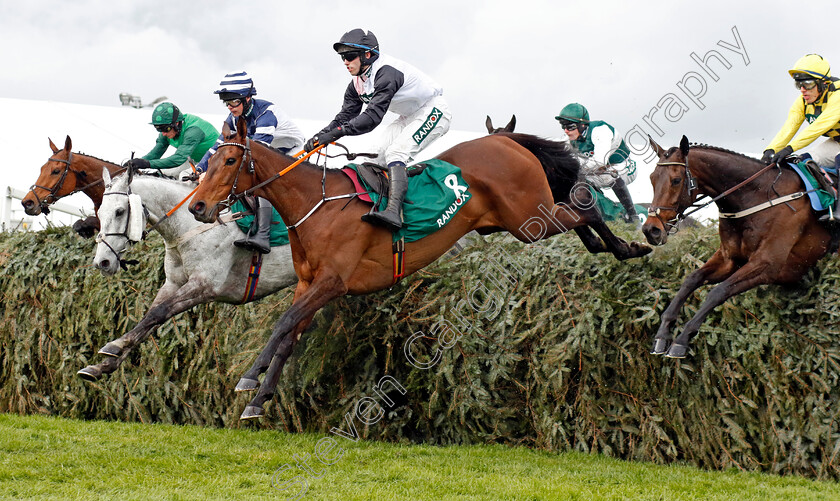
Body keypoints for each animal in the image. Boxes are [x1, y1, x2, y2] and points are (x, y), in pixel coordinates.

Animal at [79, 170, 296, 380]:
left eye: (119, 212)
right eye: (100, 212)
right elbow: (151, 316)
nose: (102, 262)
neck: (189, 226)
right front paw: (103, 365)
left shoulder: (205, 285)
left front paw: (115, 345)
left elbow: (159, 313)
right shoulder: (173, 284)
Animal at [189, 117, 648, 418]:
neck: (316, 205)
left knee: (586, 205)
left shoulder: (332, 283)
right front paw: (258, 401)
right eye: (208, 162)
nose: (197, 207)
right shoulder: (308, 285)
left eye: (228, 162)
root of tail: (506, 141)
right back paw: (609, 246)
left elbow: (283, 325)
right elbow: (289, 337)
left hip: (527, 219)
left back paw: (628, 246)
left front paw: (249, 381)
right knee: (578, 210)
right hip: (516, 220)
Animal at [640, 135, 836, 358]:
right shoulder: (729, 259)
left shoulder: (768, 265)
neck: (758, 196)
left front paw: (681, 340)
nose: (651, 230)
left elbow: (718, 292)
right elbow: (691, 280)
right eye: (652, 178)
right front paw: (663, 334)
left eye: (676, 180)